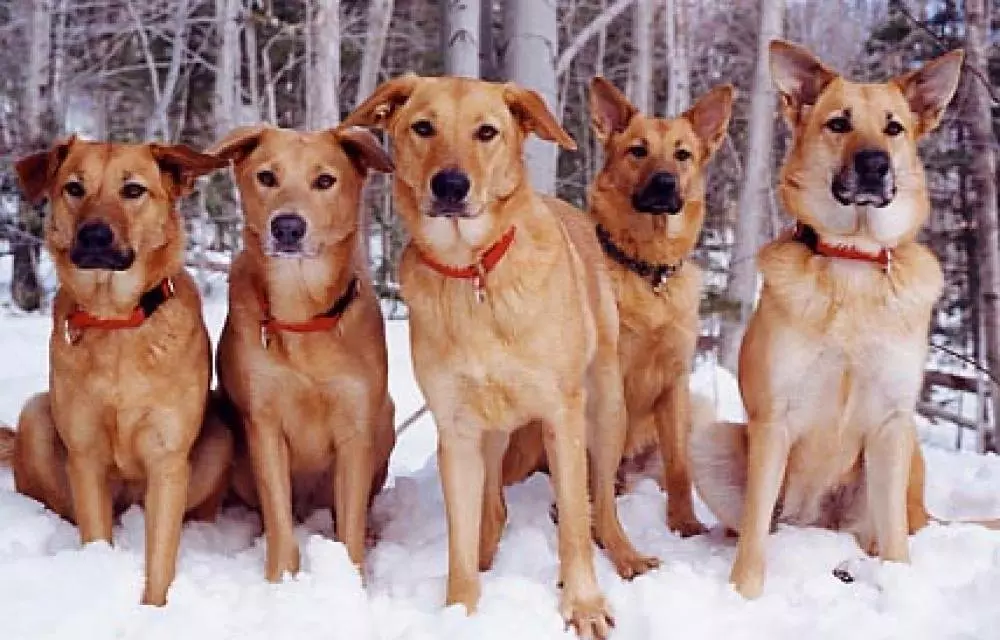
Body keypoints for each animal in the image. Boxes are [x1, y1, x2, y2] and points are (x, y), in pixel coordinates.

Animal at [2, 136, 232, 604]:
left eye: (133, 190)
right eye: (74, 188)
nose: (94, 234)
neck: (116, 320)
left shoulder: (167, 460)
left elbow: (160, 560)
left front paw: (154, 610)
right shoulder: (85, 457)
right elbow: (95, 535)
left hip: (219, 434)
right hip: (36, 416)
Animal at [210, 124, 394, 580]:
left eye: (325, 181)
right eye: (266, 177)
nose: (288, 227)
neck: (301, 316)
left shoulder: (355, 428)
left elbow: (349, 525)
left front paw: (351, 581)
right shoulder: (264, 424)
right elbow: (279, 520)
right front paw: (282, 580)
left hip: (385, 416)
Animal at [344, 75, 656, 636]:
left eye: (486, 132)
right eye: (423, 127)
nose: (450, 185)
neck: (474, 273)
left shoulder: (562, 416)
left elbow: (575, 523)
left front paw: (583, 605)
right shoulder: (457, 430)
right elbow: (460, 543)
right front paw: (461, 611)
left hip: (605, 410)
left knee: (601, 504)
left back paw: (623, 554)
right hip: (492, 434)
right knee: (492, 510)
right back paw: (490, 552)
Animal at [584, 76, 736, 536]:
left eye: (682, 154)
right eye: (638, 150)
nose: (666, 182)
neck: (648, 273)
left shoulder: (674, 382)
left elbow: (679, 466)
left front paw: (685, 523)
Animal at [688, 40, 968, 600]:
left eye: (894, 128)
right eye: (839, 123)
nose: (874, 164)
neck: (852, 260)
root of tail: (814, 527)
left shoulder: (890, 423)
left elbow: (897, 542)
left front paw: (900, 592)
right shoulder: (772, 421)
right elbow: (754, 530)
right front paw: (744, 594)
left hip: (906, 455)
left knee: (886, 531)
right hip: (710, 442)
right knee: (750, 524)